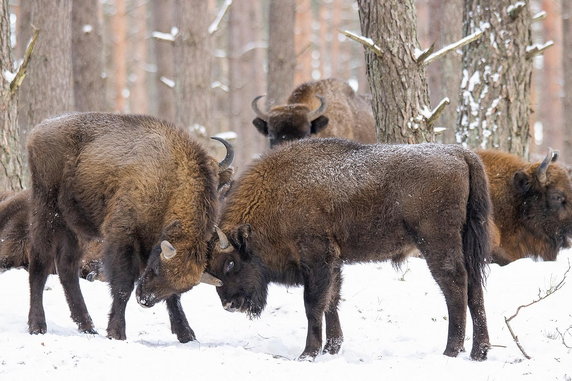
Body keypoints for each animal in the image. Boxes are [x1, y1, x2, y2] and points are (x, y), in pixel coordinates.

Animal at [26, 112, 232, 342]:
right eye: (156, 269)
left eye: (183, 287)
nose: (145, 300)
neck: (170, 182)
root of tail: (39, 130)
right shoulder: (122, 238)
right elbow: (123, 286)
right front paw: (117, 332)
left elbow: (174, 299)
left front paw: (186, 335)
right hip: (46, 212)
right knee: (40, 264)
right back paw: (37, 326)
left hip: (76, 227)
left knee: (67, 267)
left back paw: (88, 327)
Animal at [209, 138, 492, 360]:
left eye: (231, 262)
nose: (230, 305)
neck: (279, 192)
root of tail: (461, 154)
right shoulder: (333, 262)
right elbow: (331, 301)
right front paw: (331, 349)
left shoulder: (317, 258)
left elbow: (313, 304)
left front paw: (308, 354)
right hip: (465, 243)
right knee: (475, 288)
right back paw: (479, 352)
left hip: (435, 242)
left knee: (455, 286)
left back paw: (451, 351)